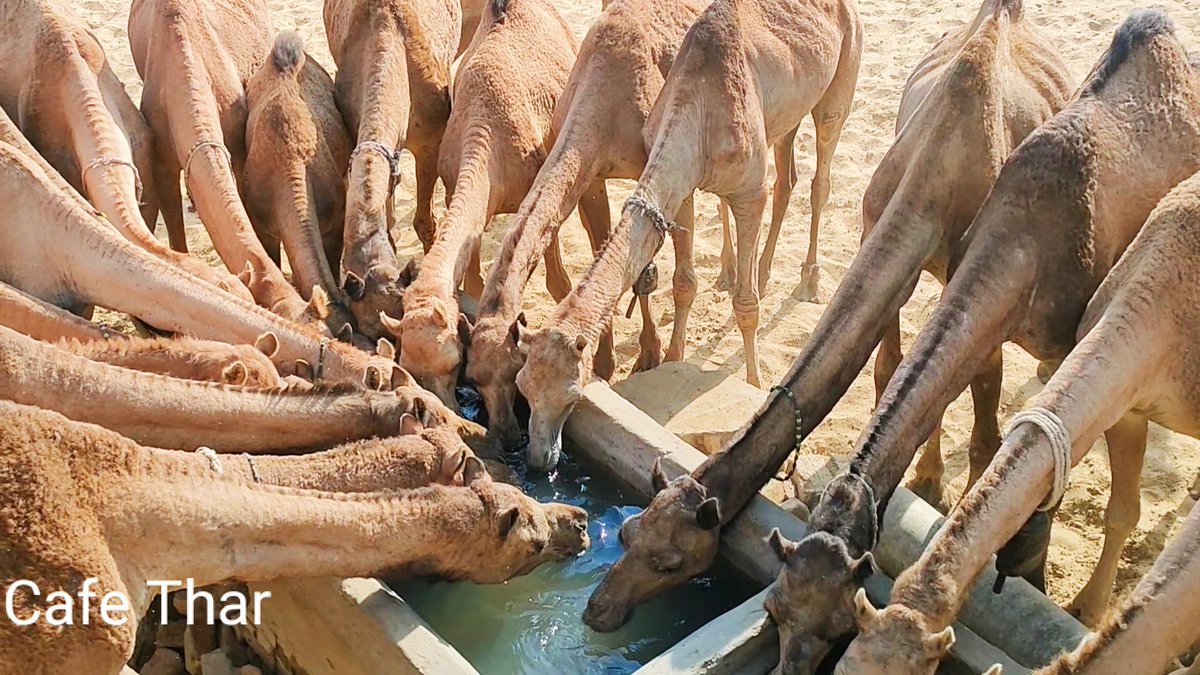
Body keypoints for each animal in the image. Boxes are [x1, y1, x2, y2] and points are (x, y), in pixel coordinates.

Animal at [385, 0, 578, 408]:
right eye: (408, 364)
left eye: (453, 363)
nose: (447, 405)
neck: (486, 135)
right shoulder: (456, 187)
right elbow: (471, 275)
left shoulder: (535, 191)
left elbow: (557, 279)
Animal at [517, 0, 861, 473]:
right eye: (523, 386)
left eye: (571, 396)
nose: (539, 459)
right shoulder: (678, 187)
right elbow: (681, 282)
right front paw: (670, 364)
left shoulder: (748, 189)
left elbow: (747, 306)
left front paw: (753, 386)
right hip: (784, 113)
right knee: (785, 174)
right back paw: (754, 271)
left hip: (843, 73)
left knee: (820, 170)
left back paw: (807, 279)